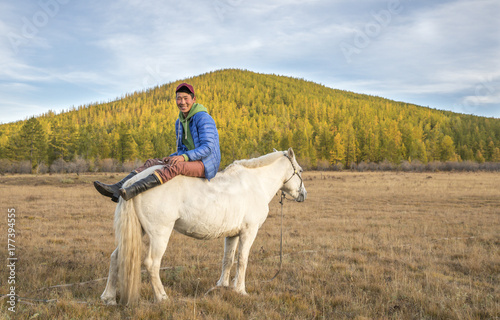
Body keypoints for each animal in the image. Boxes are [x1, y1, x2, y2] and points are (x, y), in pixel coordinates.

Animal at [100, 148, 306, 304]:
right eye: (301, 170)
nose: (303, 194)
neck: (256, 184)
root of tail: (131, 184)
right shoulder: (249, 231)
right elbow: (242, 260)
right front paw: (240, 290)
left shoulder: (232, 234)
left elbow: (228, 259)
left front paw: (223, 285)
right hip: (159, 234)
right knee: (151, 264)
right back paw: (162, 297)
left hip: (139, 231)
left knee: (115, 257)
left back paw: (108, 297)